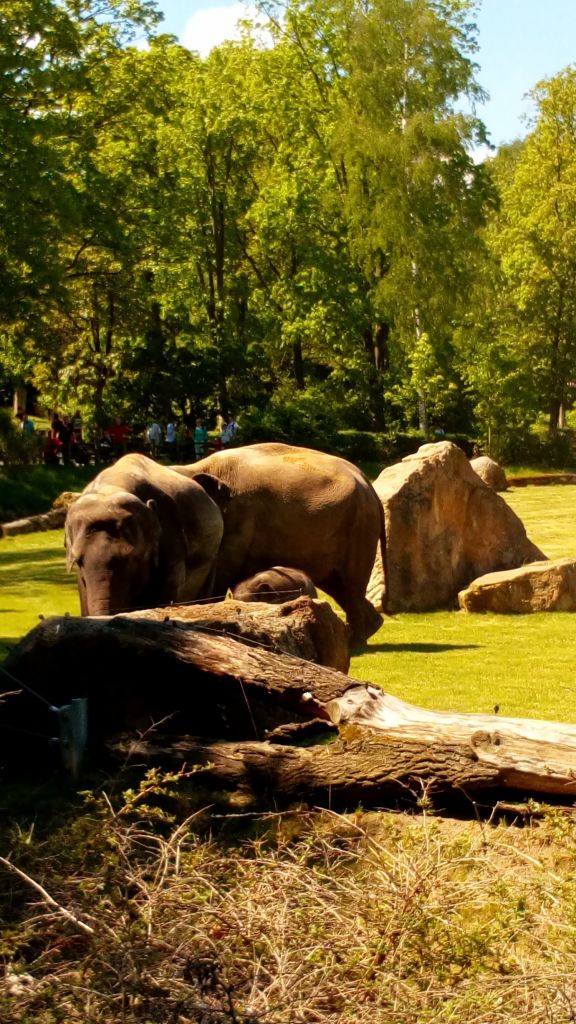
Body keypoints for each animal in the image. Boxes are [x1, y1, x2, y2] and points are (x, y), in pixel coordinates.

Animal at [174, 442, 386, 644]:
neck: (198, 467)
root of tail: (369, 484)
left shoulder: (239, 521)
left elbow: (222, 573)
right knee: (338, 585)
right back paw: (368, 628)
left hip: (360, 526)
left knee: (351, 586)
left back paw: (356, 642)